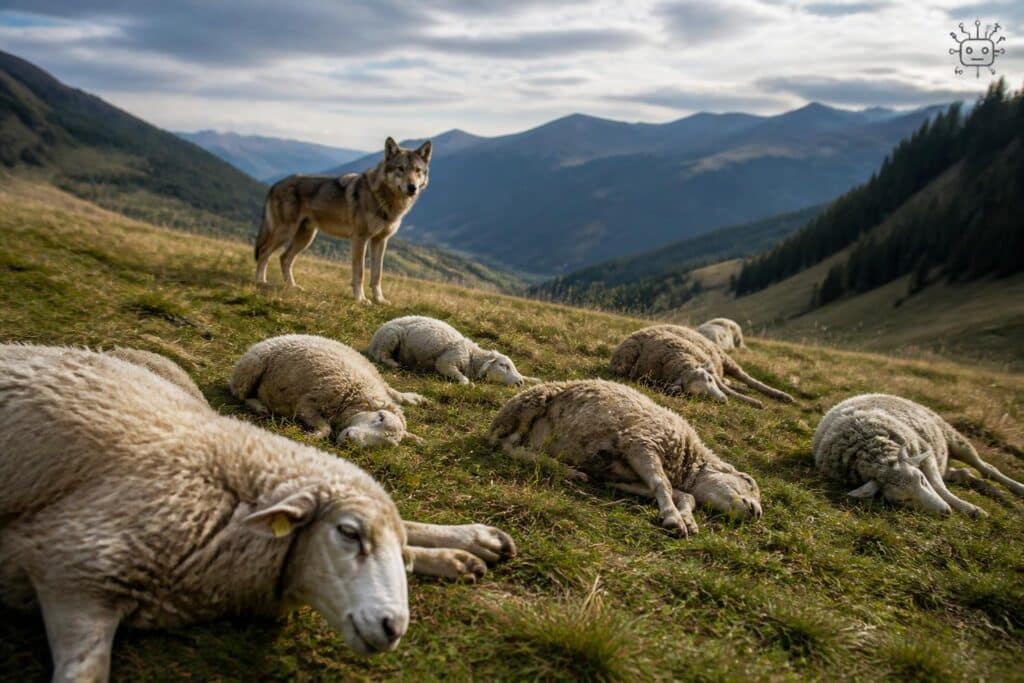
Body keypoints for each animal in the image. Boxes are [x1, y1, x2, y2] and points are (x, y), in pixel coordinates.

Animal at [230, 334, 427, 446]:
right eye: (380, 417)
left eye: (386, 444)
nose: (350, 440)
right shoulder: (308, 402)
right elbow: (326, 428)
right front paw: (314, 435)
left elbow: (395, 393)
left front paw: (414, 399)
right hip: (252, 366)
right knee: (239, 394)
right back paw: (259, 407)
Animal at [368, 315, 538, 386]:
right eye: (503, 366)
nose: (520, 383)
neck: (472, 356)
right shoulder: (445, 362)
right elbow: (463, 378)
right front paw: (466, 383)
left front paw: (533, 379)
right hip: (390, 337)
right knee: (381, 356)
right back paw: (395, 364)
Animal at [489, 379, 763, 536]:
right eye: (748, 481)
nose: (758, 512)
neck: (685, 462)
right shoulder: (642, 443)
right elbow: (663, 484)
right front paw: (674, 519)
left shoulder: (627, 472)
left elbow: (685, 495)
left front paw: (688, 518)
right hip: (530, 405)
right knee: (508, 446)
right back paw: (563, 469)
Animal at [610, 325, 794, 407]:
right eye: (700, 396)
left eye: (709, 380)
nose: (723, 401)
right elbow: (727, 389)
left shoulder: (711, 371)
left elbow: (729, 389)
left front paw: (754, 402)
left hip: (721, 356)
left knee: (745, 377)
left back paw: (781, 395)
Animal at [813, 393, 1024, 517]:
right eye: (903, 500)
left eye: (921, 479)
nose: (944, 512)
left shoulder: (926, 454)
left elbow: (940, 489)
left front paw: (971, 509)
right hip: (944, 459)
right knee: (965, 473)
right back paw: (992, 490)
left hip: (952, 437)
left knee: (986, 467)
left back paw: (1016, 488)